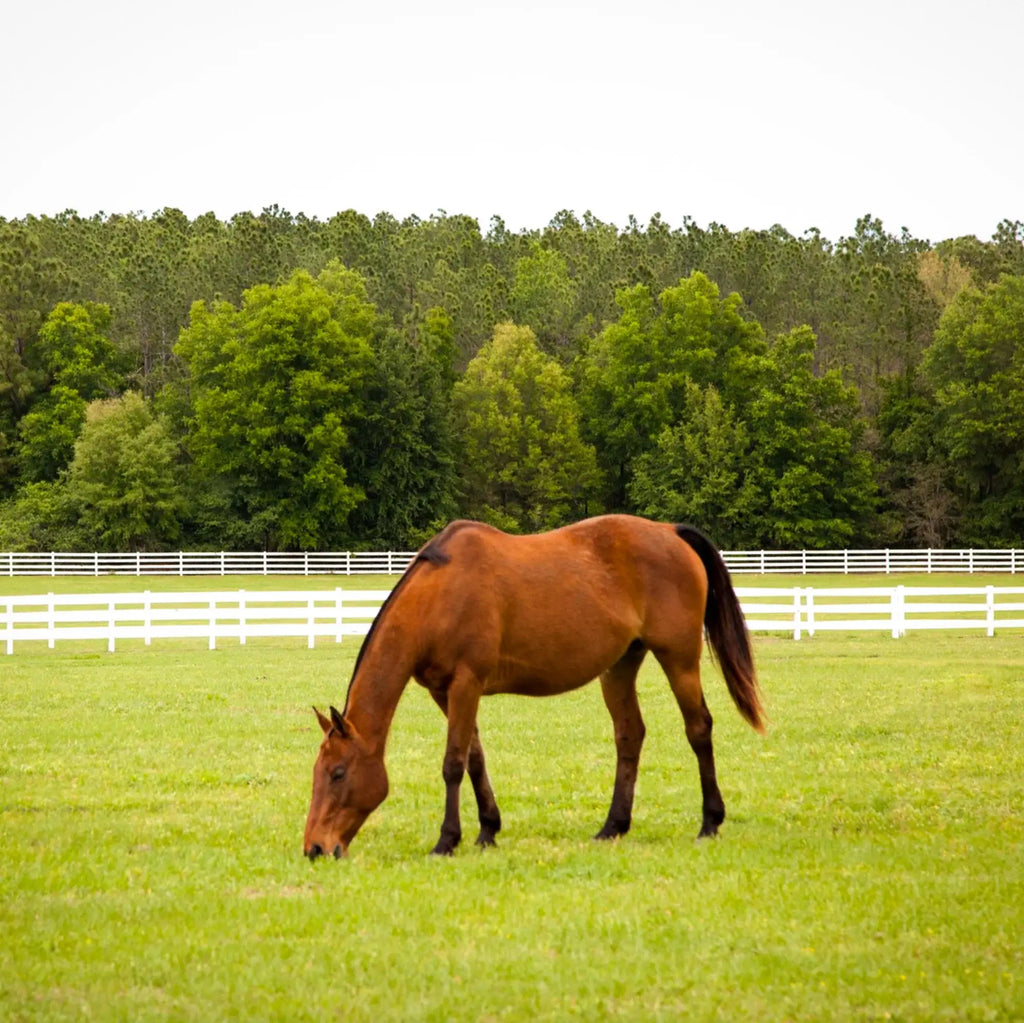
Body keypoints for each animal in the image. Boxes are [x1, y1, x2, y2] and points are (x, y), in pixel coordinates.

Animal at [303, 514, 763, 859]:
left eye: (338, 772)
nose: (316, 848)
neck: (438, 595)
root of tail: (669, 531)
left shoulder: (466, 683)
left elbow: (453, 763)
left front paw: (447, 840)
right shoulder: (444, 692)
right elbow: (475, 758)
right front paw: (488, 830)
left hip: (679, 659)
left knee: (699, 728)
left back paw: (709, 822)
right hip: (619, 667)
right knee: (630, 735)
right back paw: (613, 826)